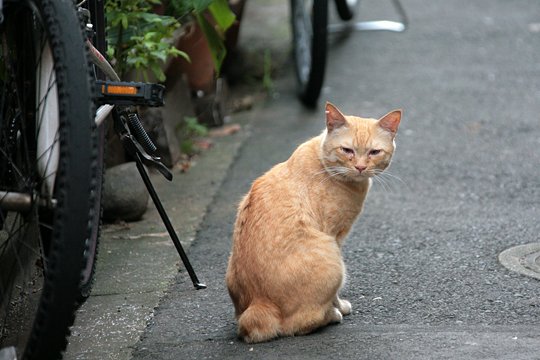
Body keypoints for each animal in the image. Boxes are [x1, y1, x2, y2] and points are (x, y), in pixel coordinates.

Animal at [225, 102, 400, 344]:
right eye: (347, 150)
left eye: (374, 152)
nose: (360, 167)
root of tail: (259, 302)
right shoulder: (335, 235)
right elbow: (334, 296)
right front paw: (340, 306)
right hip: (333, 259)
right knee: (300, 324)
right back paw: (332, 315)